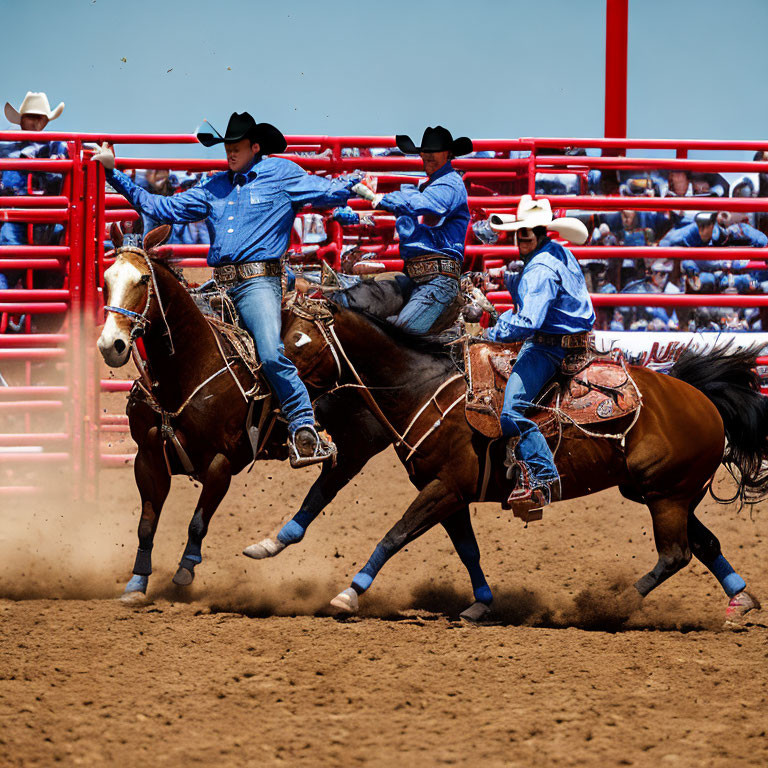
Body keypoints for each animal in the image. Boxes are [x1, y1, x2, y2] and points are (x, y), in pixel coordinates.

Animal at [278, 296, 768, 620]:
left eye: (301, 341)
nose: (277, 384)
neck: (423, 389)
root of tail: (703, 398)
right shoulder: (450, 493)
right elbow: (468, 550)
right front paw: (480, 605)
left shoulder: (444, 488)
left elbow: (395, 535)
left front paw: (349, 594)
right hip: (660, 492)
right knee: (705, 544)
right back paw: (741, 600)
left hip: (666, 495)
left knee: (676, 555)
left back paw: (611, 605)